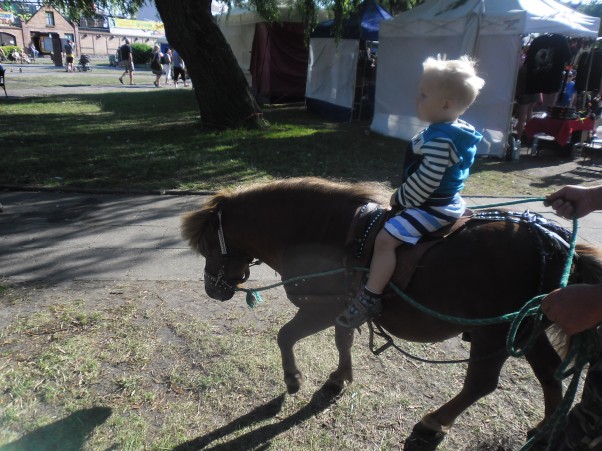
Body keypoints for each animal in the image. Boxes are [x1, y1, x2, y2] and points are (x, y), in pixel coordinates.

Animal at [180, 177, 600, 444]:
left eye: (209, 244)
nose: (212, 288)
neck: (320, 232)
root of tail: (554, 240)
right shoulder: (343, 309)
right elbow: (343, 340)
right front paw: (337, 379)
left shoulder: (319, 310)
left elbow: (286, 336)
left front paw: (294, 379)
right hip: (526, 326)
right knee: (549, 373)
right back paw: (544, 429)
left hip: (493, 333)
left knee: (481, 384)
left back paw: (434, 422)